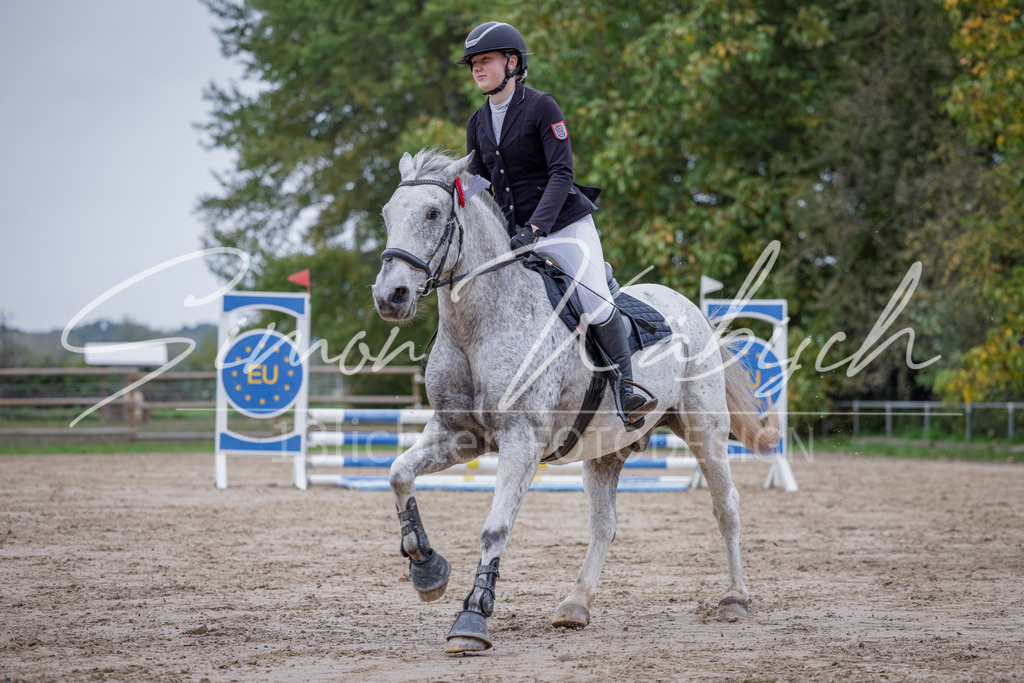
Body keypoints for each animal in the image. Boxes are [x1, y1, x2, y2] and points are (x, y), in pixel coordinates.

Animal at [371, 149, 779, 654]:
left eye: (431, 213)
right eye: (387, 214)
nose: (391, 296)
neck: (478, 325)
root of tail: (691, 309)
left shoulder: (521, 440)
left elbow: (495, 527)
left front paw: (472, 618)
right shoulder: (456, 435)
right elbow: (398, 474)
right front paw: (427, 569)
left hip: (704, 432)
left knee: (727, 507)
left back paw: (736, 598)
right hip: (606, 450)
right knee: (604, 525)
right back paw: (575, 605)